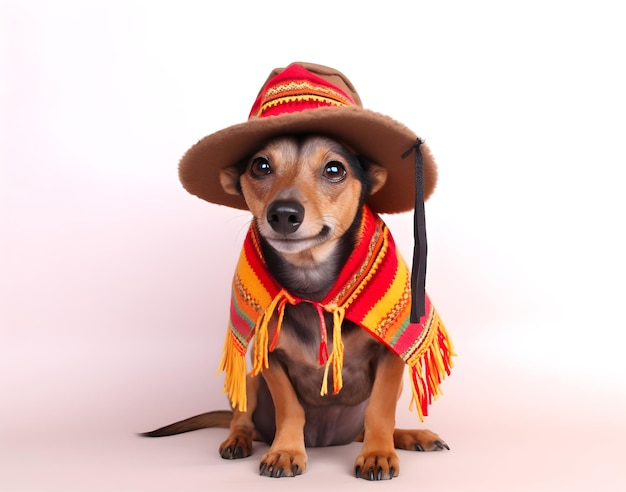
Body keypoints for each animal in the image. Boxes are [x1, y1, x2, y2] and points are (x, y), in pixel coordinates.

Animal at [141, 135, 446, 480]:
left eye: (334, 169)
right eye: (260, 166)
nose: (283, 214)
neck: (313, 290)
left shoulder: (389, 358)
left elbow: (379, 411)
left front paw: (378, 454)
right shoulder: (271, 361)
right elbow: (290, 410)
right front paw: (286, 452)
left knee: (370, 428)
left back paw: (411, 436)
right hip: (249, 382)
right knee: (241, 421)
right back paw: (237, 440)